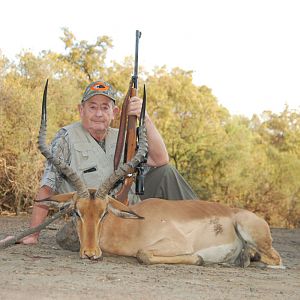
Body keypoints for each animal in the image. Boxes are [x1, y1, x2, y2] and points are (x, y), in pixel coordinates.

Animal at [37, 82, 282, 268]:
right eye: (76, 212)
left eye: (103, 212)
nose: (90, 253)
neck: (131, 226)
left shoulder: (176, 244)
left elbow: (144, 254)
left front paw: (199, 258)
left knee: (276, 259)